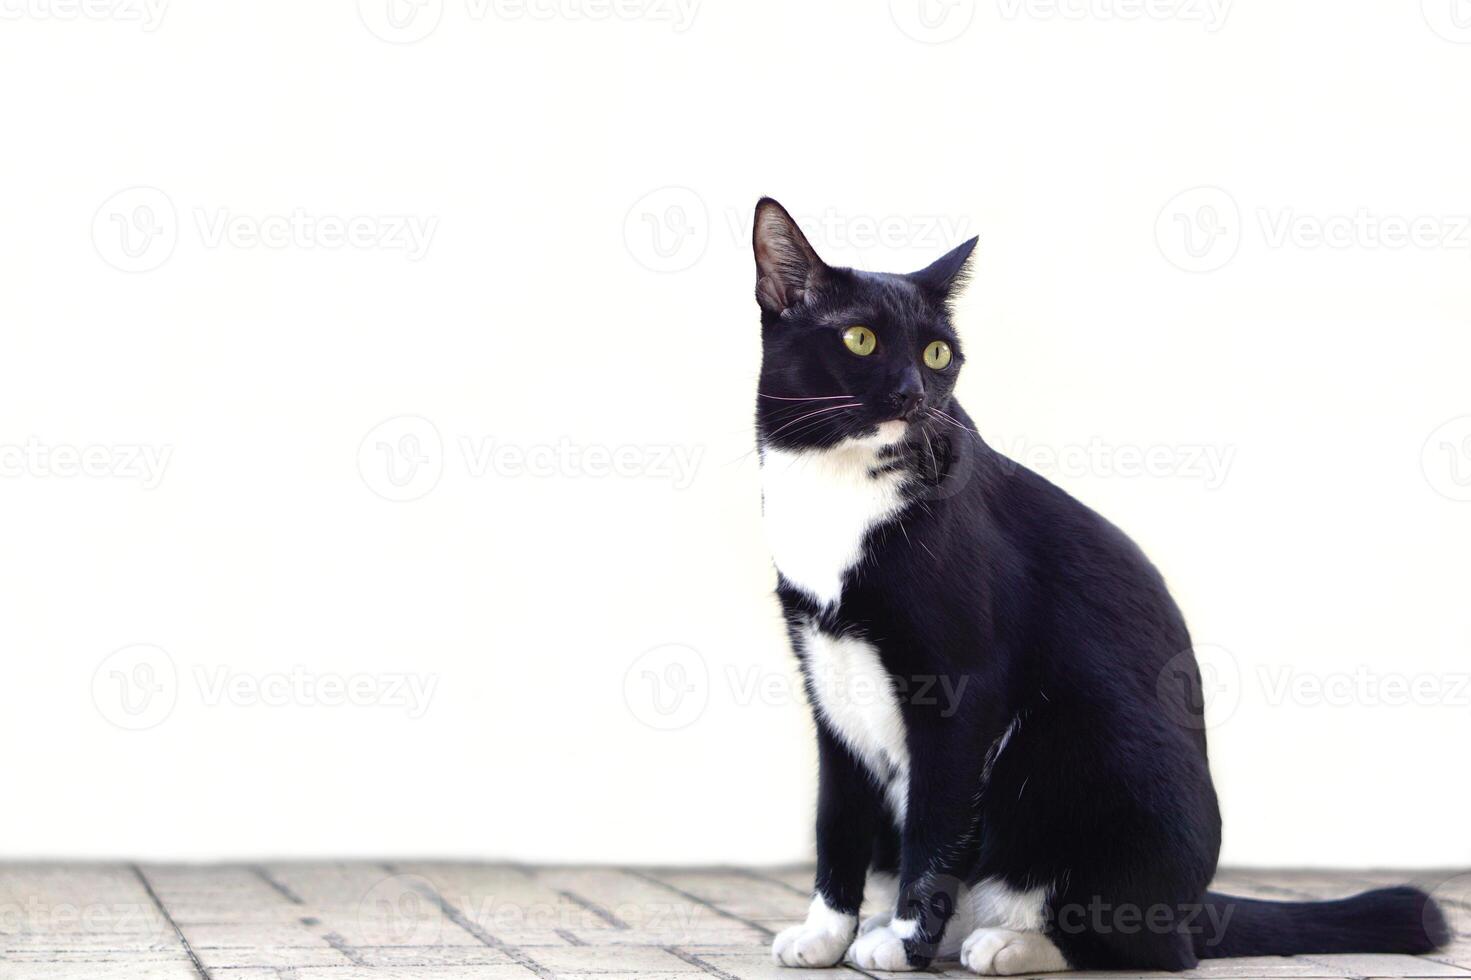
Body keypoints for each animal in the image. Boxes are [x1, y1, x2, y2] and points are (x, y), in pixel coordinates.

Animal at [747, 197, 1447, 971]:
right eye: (860, 339)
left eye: (937, 354)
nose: (913, 394)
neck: (837, 493)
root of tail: (1196, 905)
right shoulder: (827, 679)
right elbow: (835, 817)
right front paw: (825, 932)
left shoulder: (962, 686)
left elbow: (933, 830)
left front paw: (904, 944)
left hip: (1084, 748)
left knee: (1149, 945)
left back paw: (1010, 944)